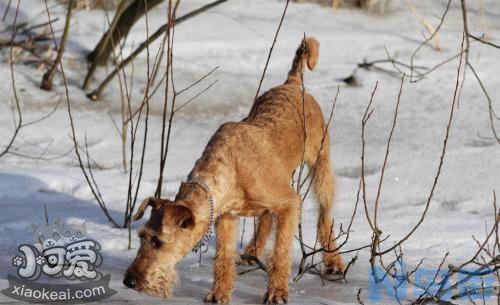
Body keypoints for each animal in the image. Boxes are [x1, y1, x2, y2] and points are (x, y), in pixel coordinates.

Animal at [124, 36, 344, 302]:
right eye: (141, 237)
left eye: (157, 241)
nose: (128, 281)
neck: (228, 172)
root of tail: (291, 83)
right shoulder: (226, 218)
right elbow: (223, 256)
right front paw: (219, 293)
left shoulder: (290, 203)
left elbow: (281, 252)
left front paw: (277, 292)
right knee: (266, 219)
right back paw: (252, 251)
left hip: (320, 165)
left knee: (324, 215)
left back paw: (333, 262)